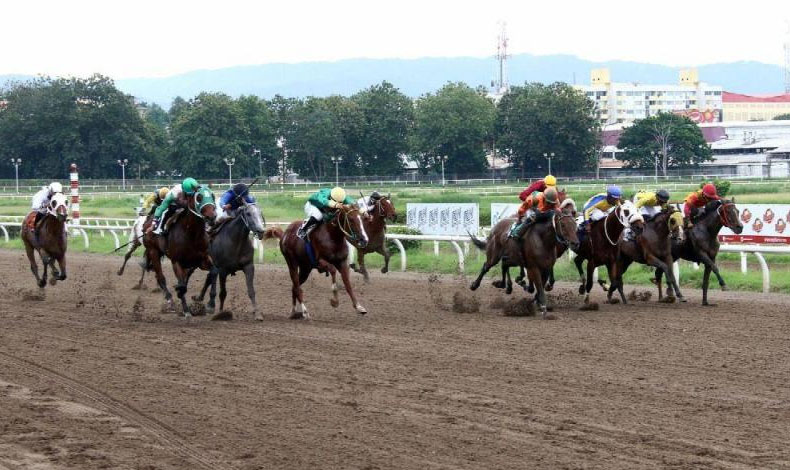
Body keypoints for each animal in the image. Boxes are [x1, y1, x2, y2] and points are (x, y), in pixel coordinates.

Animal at [142, 186, 217, 316]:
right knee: (161, 277)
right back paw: (169, 299)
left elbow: (213, 272)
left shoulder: (202, 260)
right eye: (199, 197)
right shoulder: (176, 261)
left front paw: (211, 304)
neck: (192, 235)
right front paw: (186, 309)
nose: (212, 217)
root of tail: (148, 221)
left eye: (212, 195)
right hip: (153, 251)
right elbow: (182, 286)